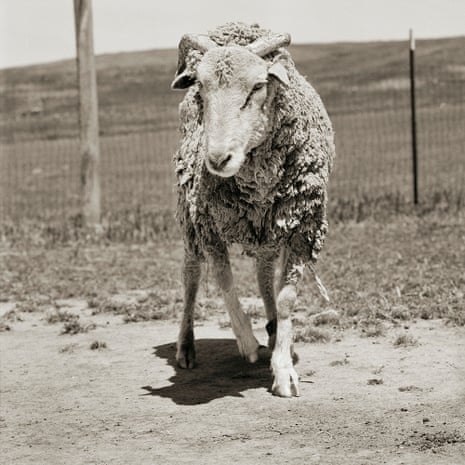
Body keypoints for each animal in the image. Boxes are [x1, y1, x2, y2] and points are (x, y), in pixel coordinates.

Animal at [170, 22, 334, 396]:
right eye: (201, 87)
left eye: (258, 86)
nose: (218, 159)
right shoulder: (209, 224)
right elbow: (224, 281)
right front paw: (247, 342)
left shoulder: (302, 226)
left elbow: (285, 298)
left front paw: (283, 370)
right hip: (189, 221)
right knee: (190, 277)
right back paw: (186, 346)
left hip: (270, 229)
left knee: (263, 274)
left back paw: (273, 330)